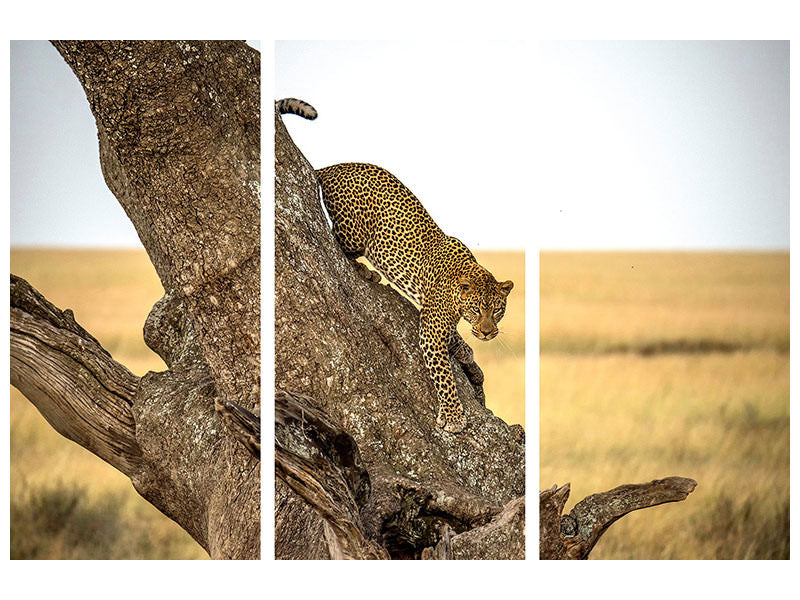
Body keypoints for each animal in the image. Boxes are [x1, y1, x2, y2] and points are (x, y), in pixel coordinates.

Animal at [278, 99, 512, 436]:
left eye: (497, 310)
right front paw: (453, 416)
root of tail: (332, 167)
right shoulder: (431, 329)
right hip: (356, 231)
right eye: (477, 309)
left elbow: (454, 338)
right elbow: (444, 376)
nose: (488, 332)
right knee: (337, 241)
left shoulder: (432, 316)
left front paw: (465, 350)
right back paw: (366, 271)